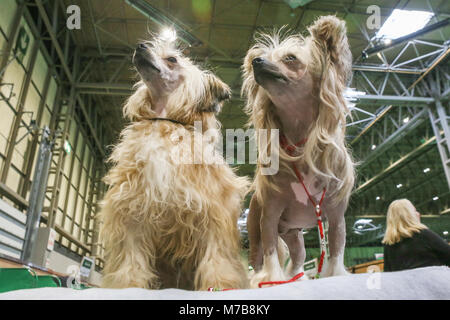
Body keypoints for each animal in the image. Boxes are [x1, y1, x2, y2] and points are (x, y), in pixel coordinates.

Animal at [98, 37, 250, 290]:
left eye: (172, 59)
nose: (140, 46)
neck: (165, 122)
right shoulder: (133, 210)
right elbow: (132, 258)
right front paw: (129, 285)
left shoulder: (213, 215)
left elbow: (217, 257)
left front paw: (220, 285)